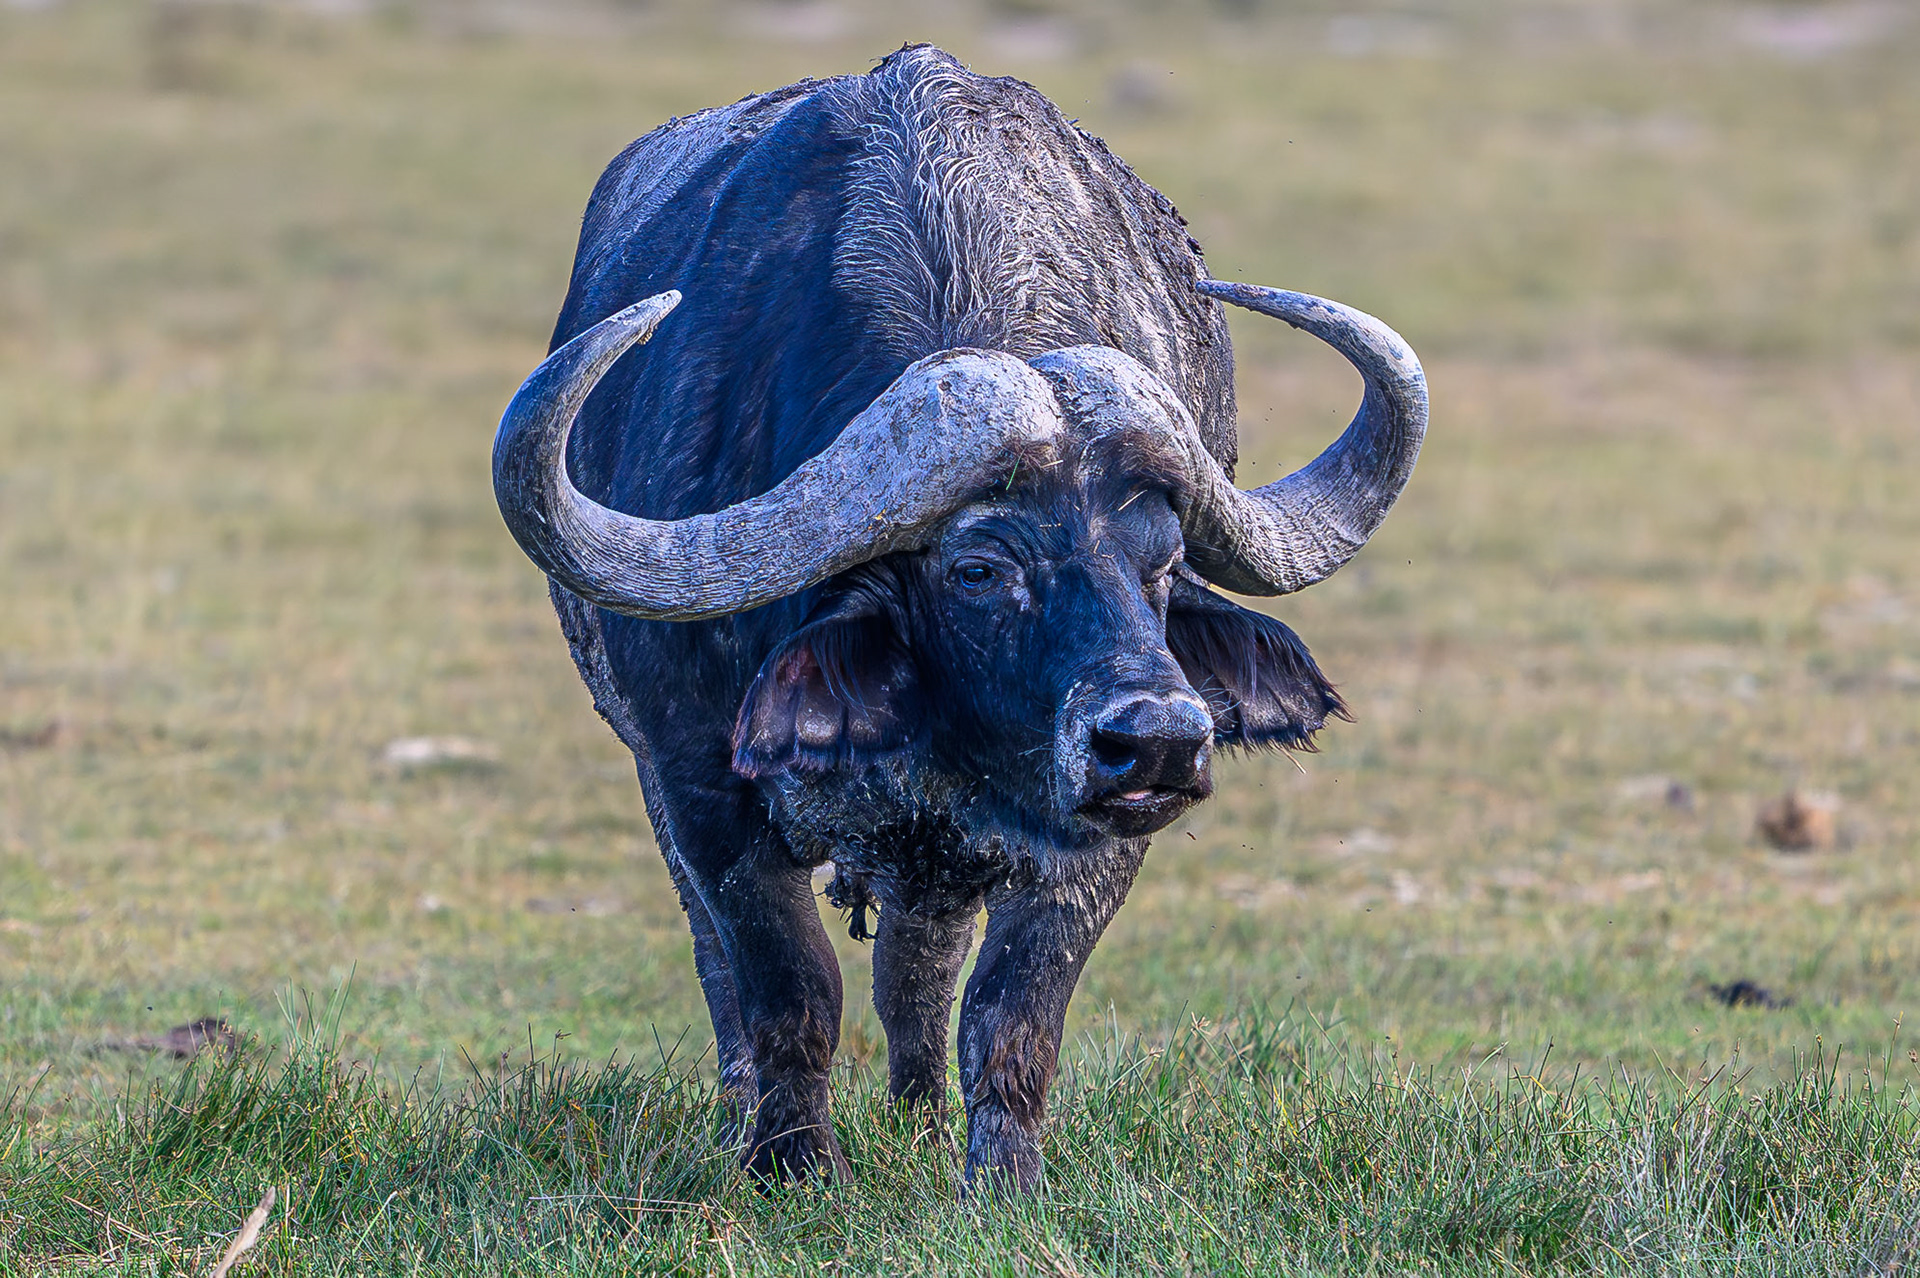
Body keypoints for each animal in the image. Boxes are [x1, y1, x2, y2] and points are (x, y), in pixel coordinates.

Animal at [493, 44, 1425, 1190]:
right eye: (979, 567)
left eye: (1163, 563)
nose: (1159, 739)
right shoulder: (697, 779)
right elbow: (787, 989)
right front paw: (793, 1169)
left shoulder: (1096, 836)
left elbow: (1011, 1008)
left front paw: (1003, 1181)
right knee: (731, 976)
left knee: (918, 973)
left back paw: (922, 1125)